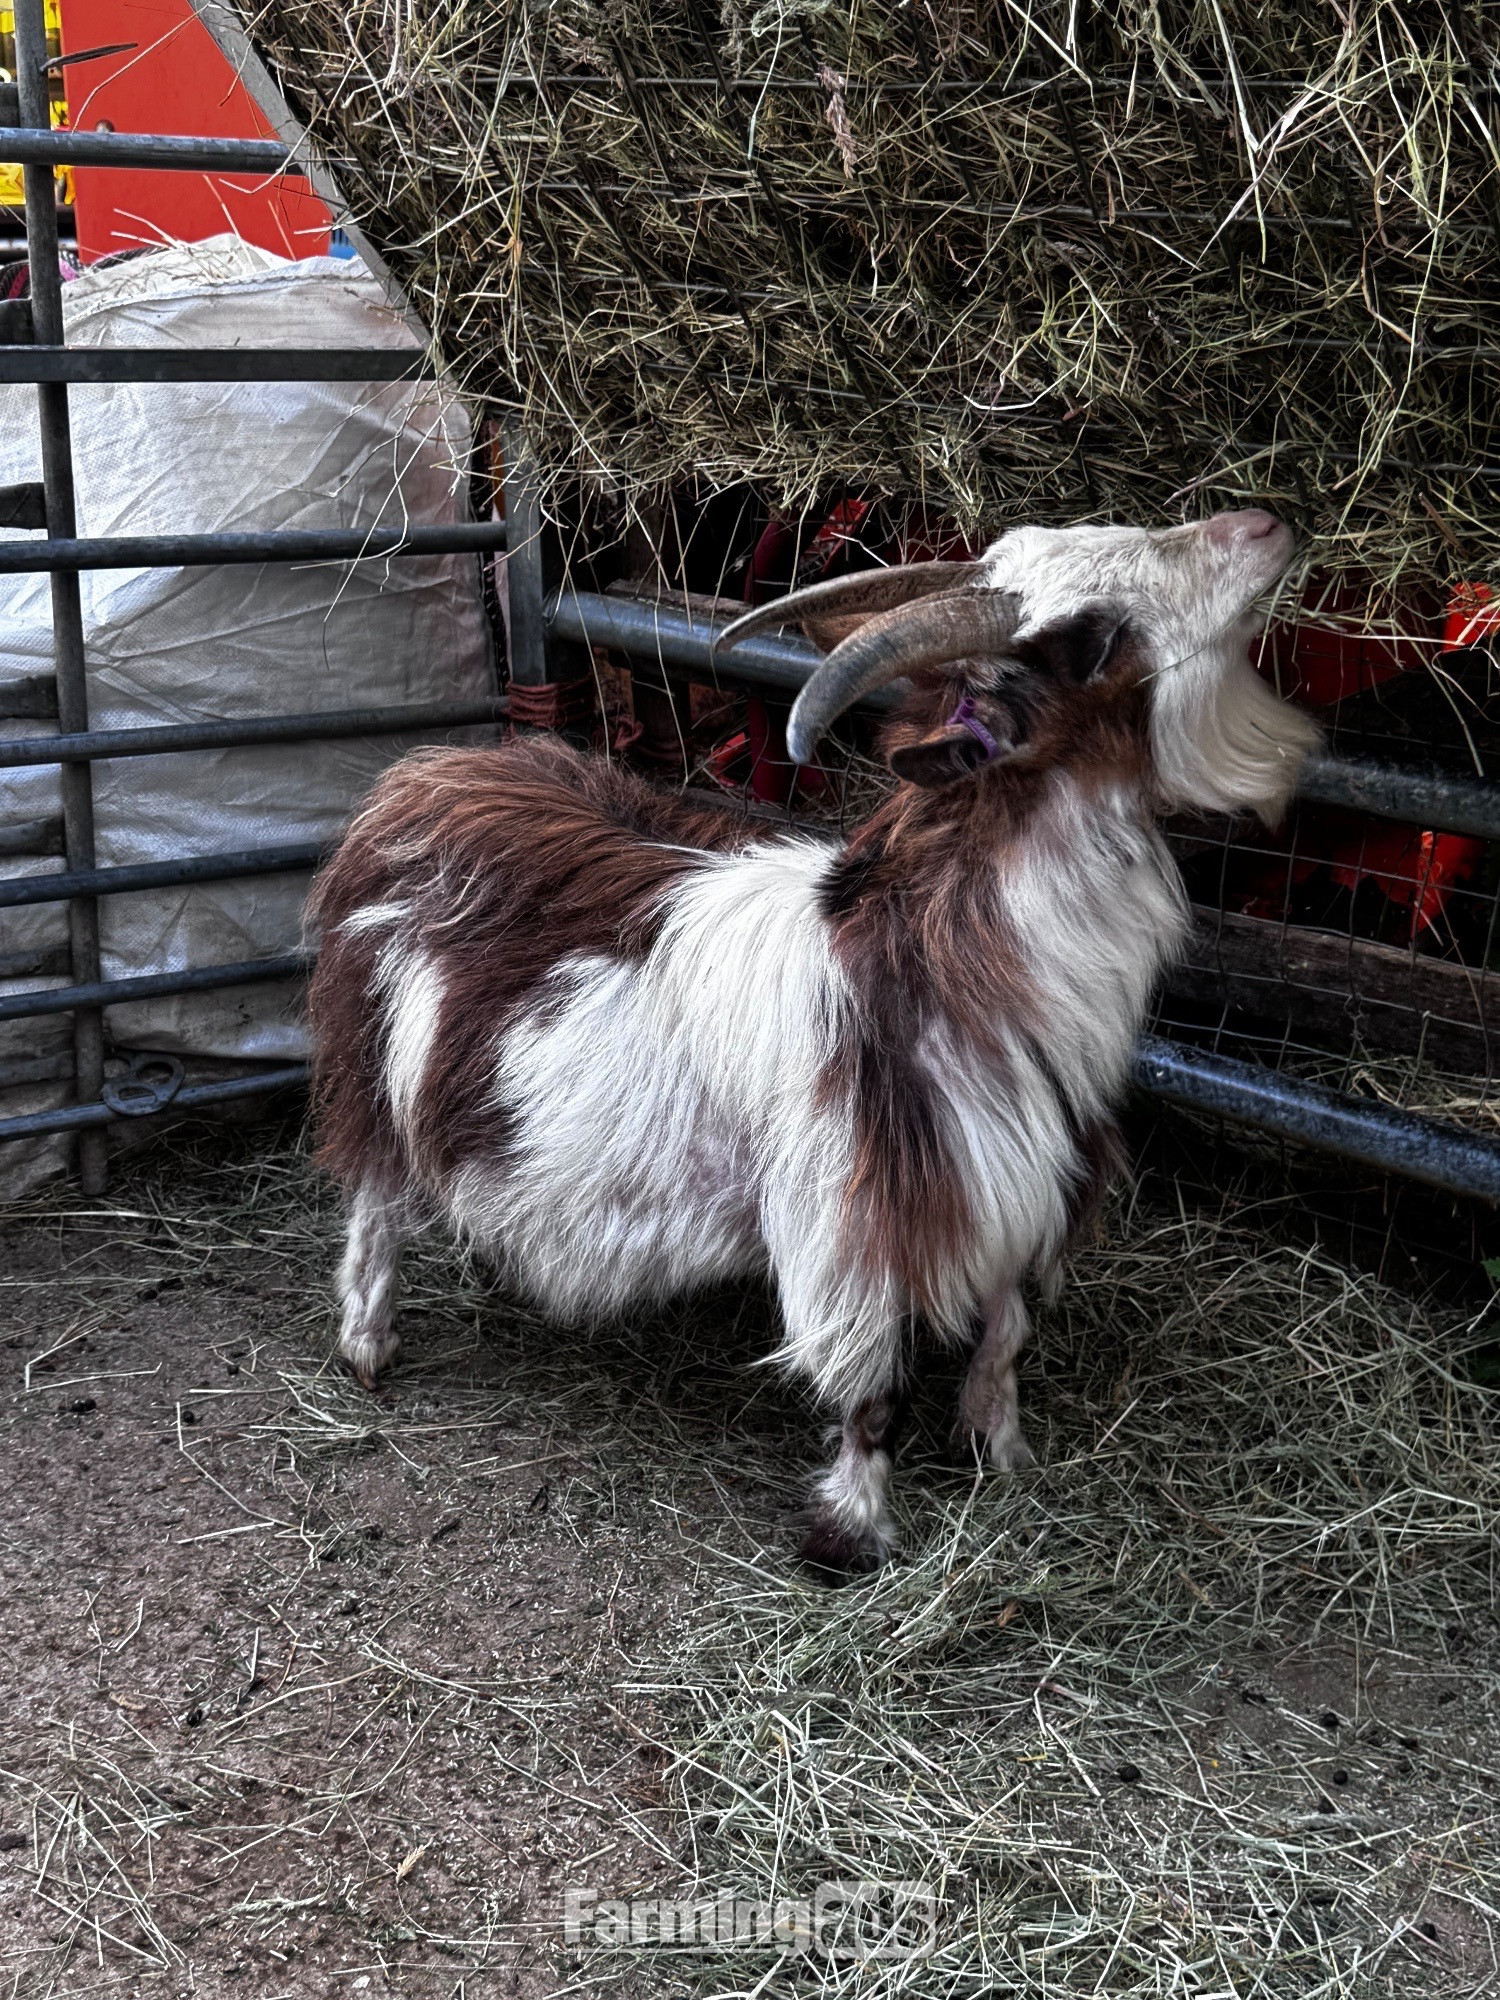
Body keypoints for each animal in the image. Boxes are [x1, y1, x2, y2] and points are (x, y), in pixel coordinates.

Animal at [307, 509, 1317, 1574]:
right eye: (1092, 638)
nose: (1263, 524)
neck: (934, 961)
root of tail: (427, 778)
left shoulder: (1022, 1179)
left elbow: (1006, 1330)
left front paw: (1002, 1452)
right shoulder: (855, 1217)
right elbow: (871, 1388)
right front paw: (853, 1531)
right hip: (378, 1056)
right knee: (374, 1195)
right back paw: (368, 1344)